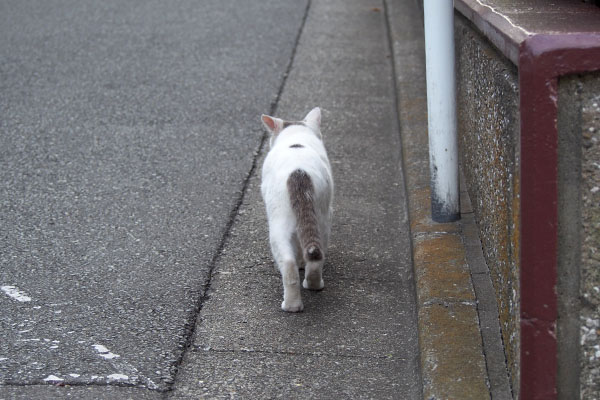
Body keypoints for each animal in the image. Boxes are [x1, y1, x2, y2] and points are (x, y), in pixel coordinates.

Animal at [258, 107, 332, 312]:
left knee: (288, 263)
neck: (296, 136)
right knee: (317, 254)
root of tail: (299, 172)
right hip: (322, 218)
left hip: (278, 225)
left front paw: (299, 262)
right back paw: (313, 284)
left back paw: (291, 305)